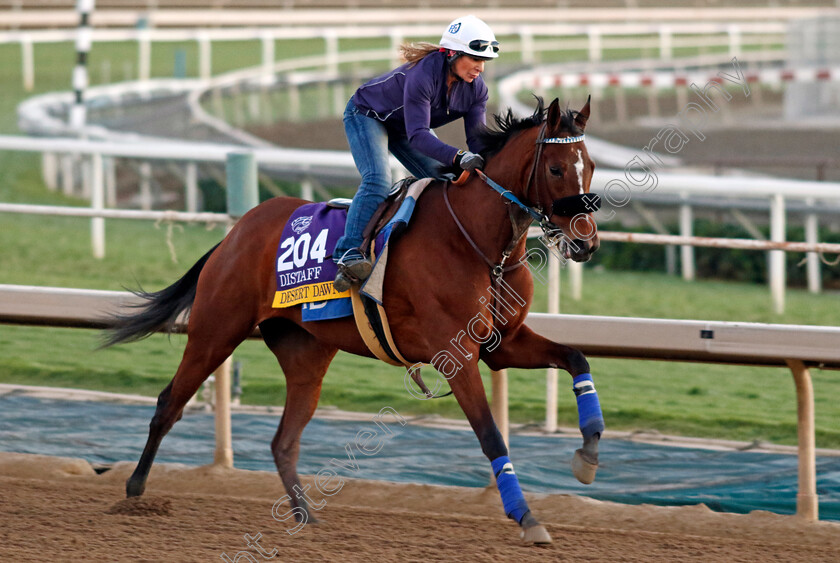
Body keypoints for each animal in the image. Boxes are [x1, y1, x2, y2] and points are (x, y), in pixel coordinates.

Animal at [105, 97, 604, 548]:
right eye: (556, 169)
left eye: (592, 166)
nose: (586, 242)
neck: (480, 245)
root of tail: (236, 232)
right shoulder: (456, 353)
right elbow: (492, 436)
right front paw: (527, 518)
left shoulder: (503, 344)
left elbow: (577, 359)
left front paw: (589, 452)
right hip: (216, 330)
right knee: (169, 403)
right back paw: (134, 491)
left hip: (305, 354)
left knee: (283, 440)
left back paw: (305, 514)